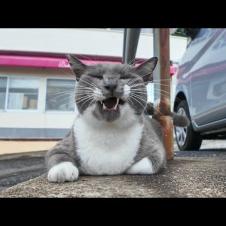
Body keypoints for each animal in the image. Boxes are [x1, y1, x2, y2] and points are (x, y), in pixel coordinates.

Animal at [45, 55, 188, 183]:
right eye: (98, 76)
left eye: (124, 77)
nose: (111, 84)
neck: (109, 132)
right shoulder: (64, 143)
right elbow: (56, 155)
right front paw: (62, 170)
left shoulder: (156, 150)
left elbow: (144, 165)